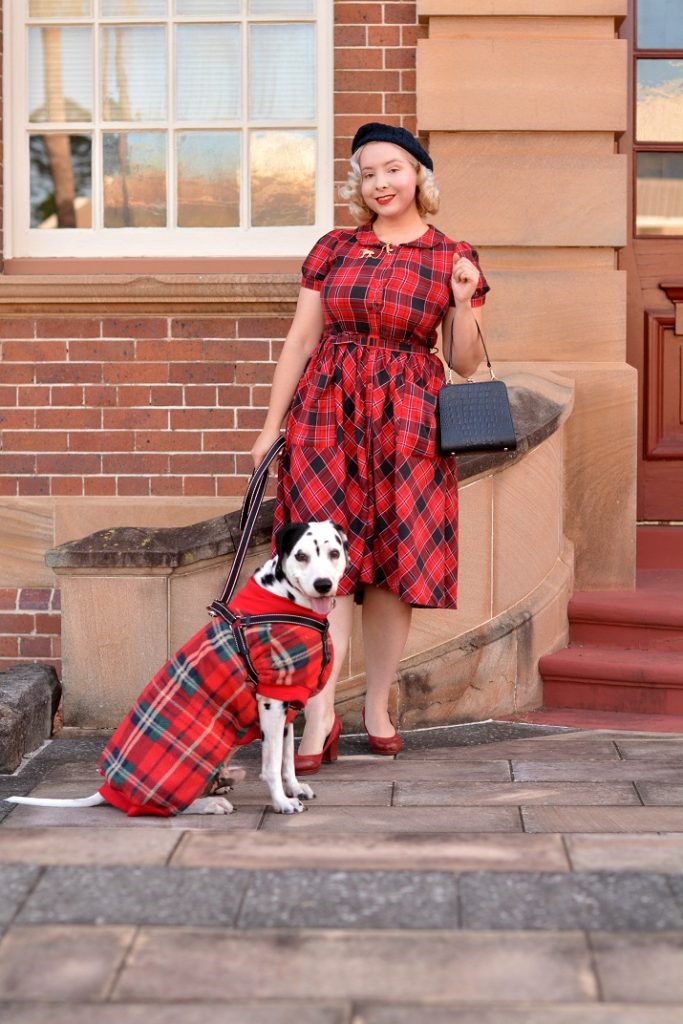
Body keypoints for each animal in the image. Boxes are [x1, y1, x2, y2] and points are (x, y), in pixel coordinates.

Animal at [5, 524, 348, 819]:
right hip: (204, 744)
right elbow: (272, 764)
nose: (323, 585)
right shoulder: (271, 701)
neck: (282, 600)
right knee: (168, 806)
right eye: (301, 556)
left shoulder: (286, 701)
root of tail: (110, 789)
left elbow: (287, 761)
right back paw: (210, 803)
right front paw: (281, 802)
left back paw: (222, 783)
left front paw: (295, 790)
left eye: (334, 553)